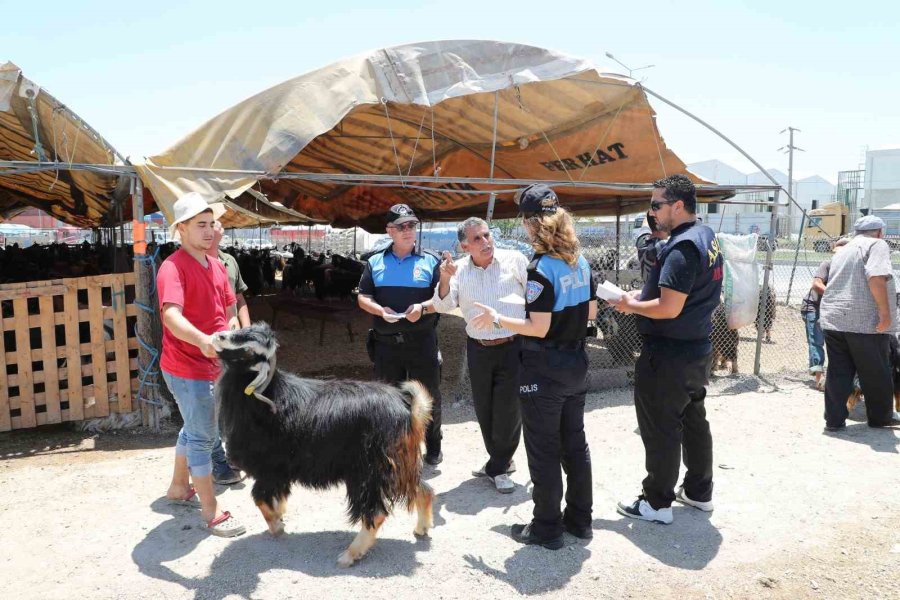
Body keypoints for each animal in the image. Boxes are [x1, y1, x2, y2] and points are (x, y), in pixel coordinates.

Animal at [212, 324, 436, 568]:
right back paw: (422, 528)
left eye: (249, 352)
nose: (218, 336)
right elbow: (277, 497)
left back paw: (350, 555)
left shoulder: (269, 468)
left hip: (368, 472)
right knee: (424, 490)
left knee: (376, 513)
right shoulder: (280, 472)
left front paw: (277, 526)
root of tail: (408, 410)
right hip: (398, 465)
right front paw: (280, 516)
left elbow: (260, 498)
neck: (268, 399)